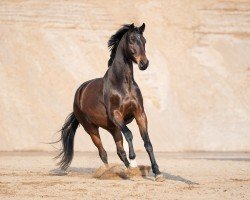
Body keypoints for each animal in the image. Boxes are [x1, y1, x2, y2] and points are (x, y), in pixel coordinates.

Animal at [57, 23, 166, 181]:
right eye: (132, 40)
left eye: (144, 41)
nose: (144, 63)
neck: (123, 84)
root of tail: (79, 94)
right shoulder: (116, 114)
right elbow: (129, 134)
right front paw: (133, 157)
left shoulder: (140, 114)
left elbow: (147, 143)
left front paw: (157, 173)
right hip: (92, 129)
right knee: (103, 152)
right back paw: (108, 172)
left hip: (113, 128)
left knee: (119, 151)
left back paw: (129, 171)